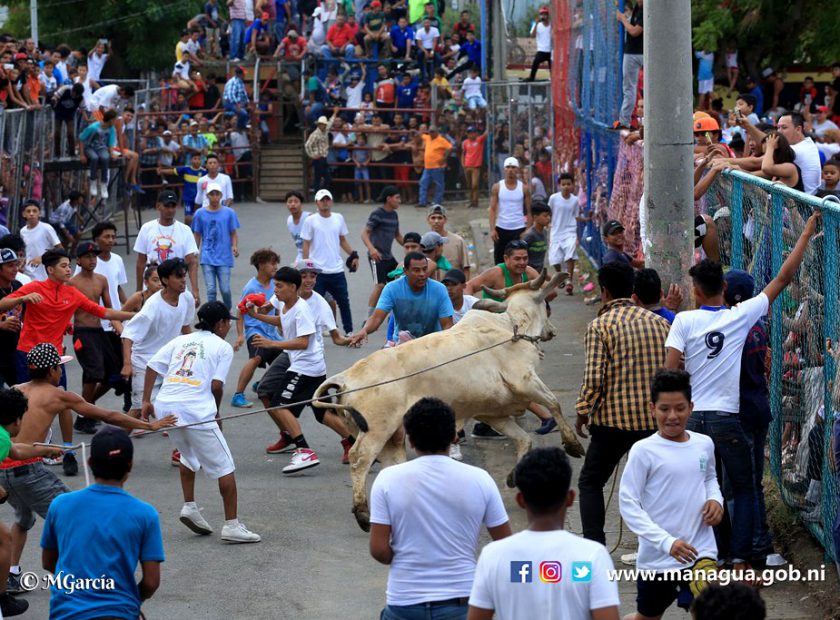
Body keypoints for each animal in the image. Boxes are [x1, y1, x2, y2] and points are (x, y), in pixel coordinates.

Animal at [308, 268, 584, 532]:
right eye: (545, 305)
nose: (552, 331)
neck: (512, 327)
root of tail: (345, 377)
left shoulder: (491, 413)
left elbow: (523, 438)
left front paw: (513, 476)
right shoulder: (524, 381)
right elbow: (554, 404)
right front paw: (573, 445)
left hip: (391, 433)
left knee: (391, 463)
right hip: (377, 429)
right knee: (359, 459)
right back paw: (363, 514)